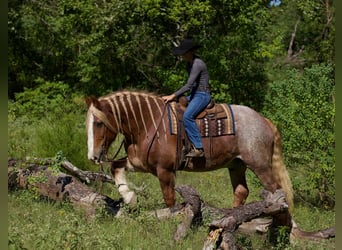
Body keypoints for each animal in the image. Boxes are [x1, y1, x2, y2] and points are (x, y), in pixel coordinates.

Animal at [85, 90, 294, 227]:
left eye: (98, 123)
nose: (92, 156)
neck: (148, 124)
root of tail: (264, 121)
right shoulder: (140, 164)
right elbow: (115, 166)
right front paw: (130, 198)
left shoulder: (165, 170)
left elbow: (169, 199)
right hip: (237, 165)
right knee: (241, 191)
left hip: (260, 166)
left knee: (277, 191)